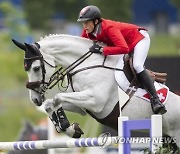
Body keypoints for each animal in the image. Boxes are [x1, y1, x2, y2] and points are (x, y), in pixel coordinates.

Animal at [11, 34, 180, 147]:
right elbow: (50, 104)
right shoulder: (83, 107)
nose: (34, 99)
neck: (87, 64)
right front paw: (70, 128)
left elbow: (58, 97)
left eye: (36, 68)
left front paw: (65, 124)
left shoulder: (95, 101)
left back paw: (158, 105)